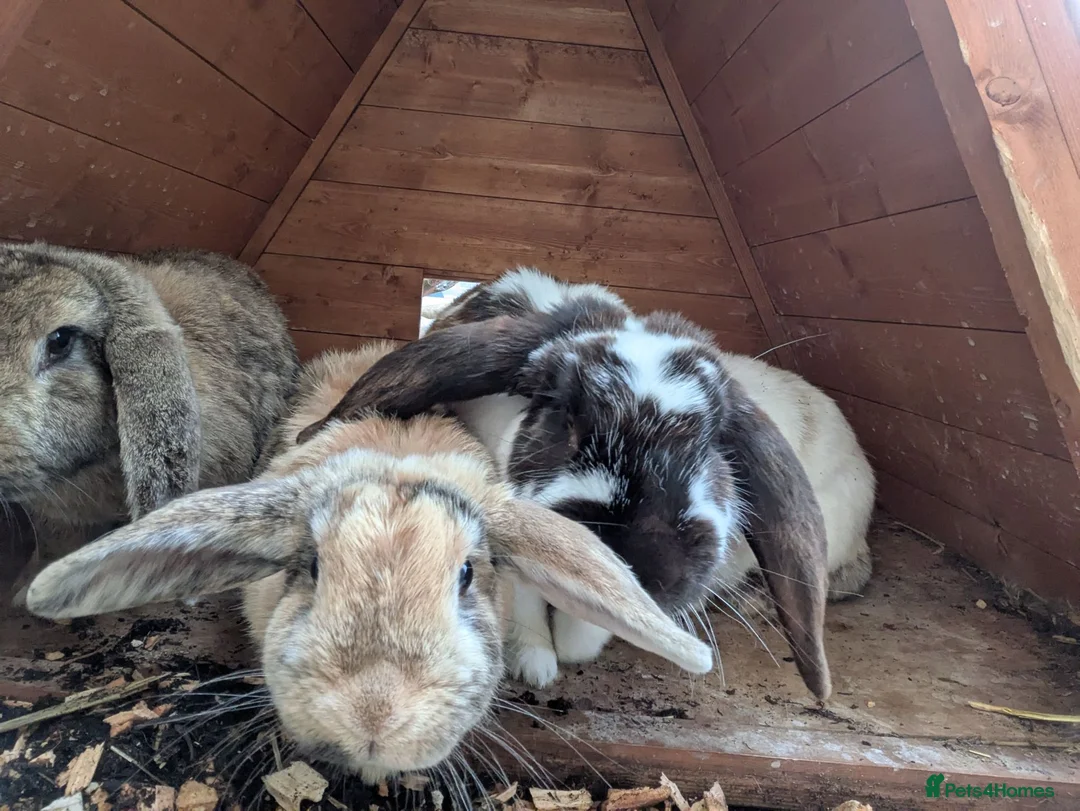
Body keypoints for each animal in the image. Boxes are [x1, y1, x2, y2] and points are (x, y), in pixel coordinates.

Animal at [297, 268, 876, 701]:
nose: (641, 562)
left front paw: (574, 644)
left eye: (712, 445)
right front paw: (535, 663)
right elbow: (526, 600)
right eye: (562, 413)